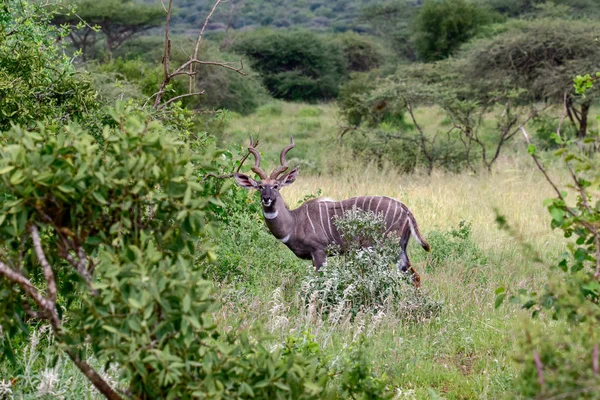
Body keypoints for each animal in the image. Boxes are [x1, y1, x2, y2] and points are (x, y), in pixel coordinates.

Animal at [232, 138, 428, 288]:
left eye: (275, 186)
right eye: (259, 186)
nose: (266, 199)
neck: (294, 222)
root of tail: (404, 208)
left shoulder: (319, 251)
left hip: (383, 247)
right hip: (399, 250)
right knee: (415, 276)